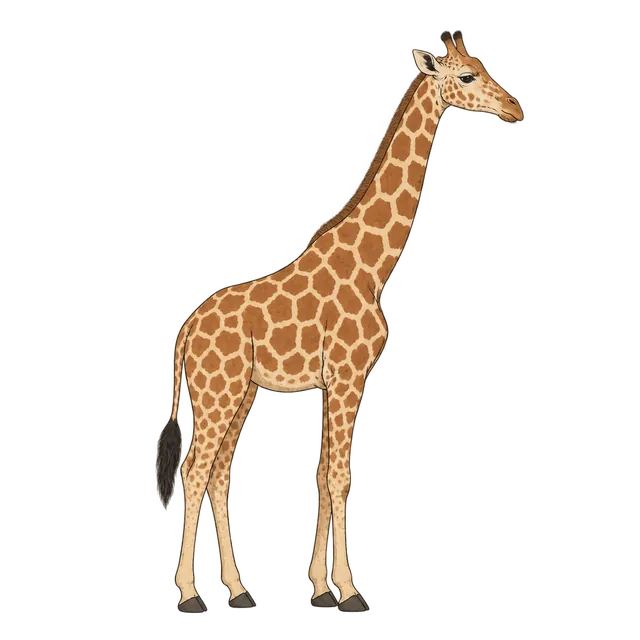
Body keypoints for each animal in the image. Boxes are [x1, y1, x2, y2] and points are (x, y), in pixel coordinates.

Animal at [154, 29, 525, 615]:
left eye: (483, 67)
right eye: (467, 76)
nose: (516, 109)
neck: (373, 266)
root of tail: (185, 329)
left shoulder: (341, 384)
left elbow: (330, 474)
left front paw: (324, 591)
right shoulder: (347, 377)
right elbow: (333, 477)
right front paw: (349, 593)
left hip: (241, 394)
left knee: (215, 474)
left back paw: (239, 593)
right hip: (216, 394)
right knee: (192, 473)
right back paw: (191, 597)